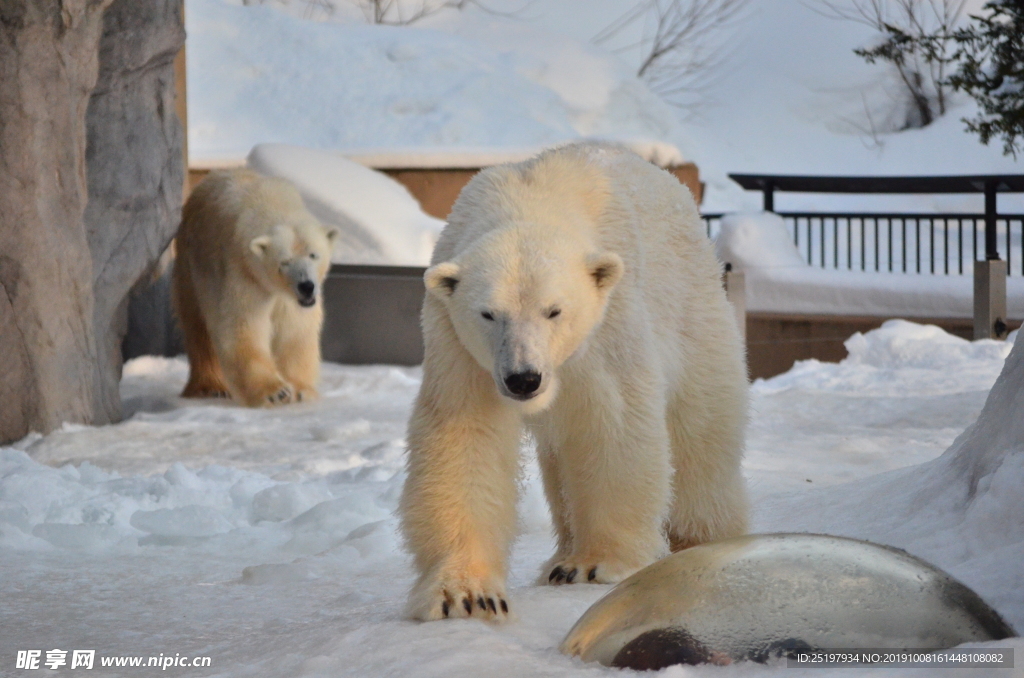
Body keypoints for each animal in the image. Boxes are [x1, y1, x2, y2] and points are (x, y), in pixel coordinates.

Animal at [172, 169, 338, 407]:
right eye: (284, 261)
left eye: (313, 255)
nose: (306, 286)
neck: (271, 202)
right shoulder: (244, 275)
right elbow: (243, 330)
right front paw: (276, 392)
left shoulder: (290, 299)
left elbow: (294, 332)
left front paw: (301, 390)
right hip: (190, 266)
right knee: (198, 328)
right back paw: (212, 387)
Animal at [399, 142, 749, 622]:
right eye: (488, 313)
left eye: (554, 310)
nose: (524, 379)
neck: (529, 202)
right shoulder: (459, 346)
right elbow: (466, 434)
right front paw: (467, 594)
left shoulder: (608, 321)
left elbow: (611, 423)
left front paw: (594, 565)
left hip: (692, 309)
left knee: (701, 434)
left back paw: (704, 540)